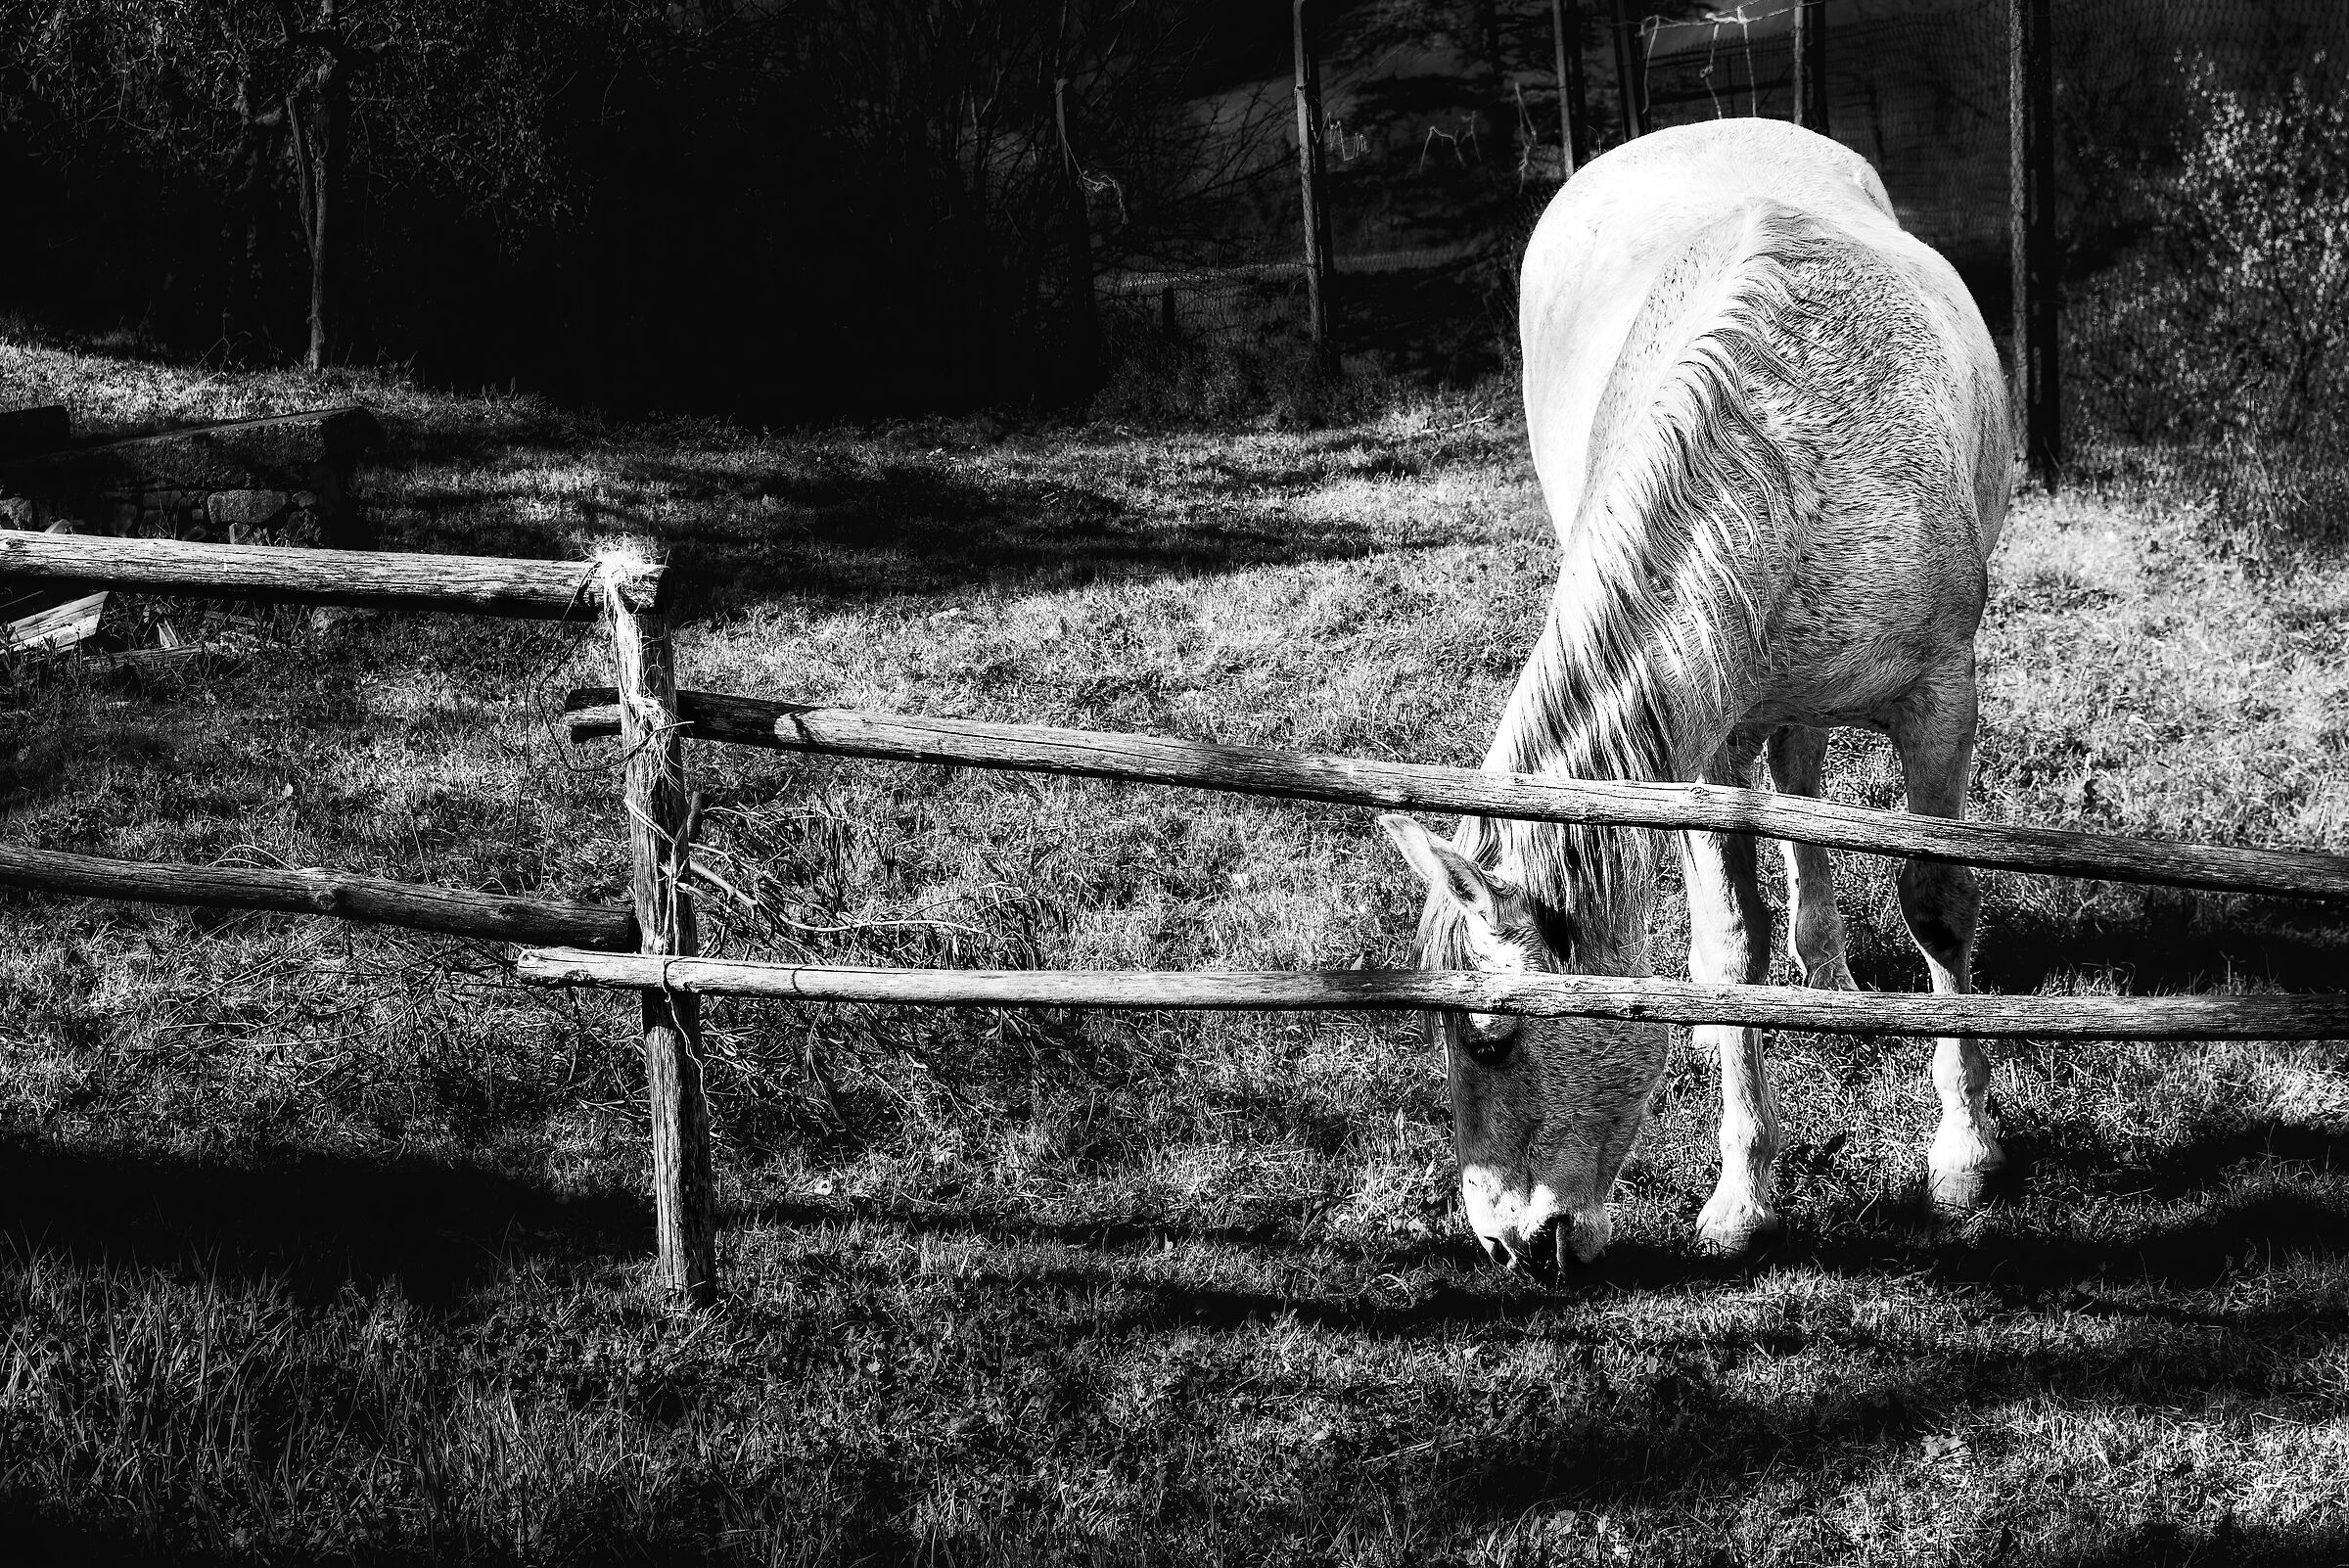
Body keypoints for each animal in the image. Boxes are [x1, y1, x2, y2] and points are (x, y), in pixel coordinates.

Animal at [1380, 119, 2013, 1276]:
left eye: (1489, 1038)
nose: (1507, 1243)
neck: (1790, 463)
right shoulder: (1705, 747)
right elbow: (1725, 944)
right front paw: (1743, 1194)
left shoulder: (1943, 701)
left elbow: (1939, 909)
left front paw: (1964, 1155)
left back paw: (1833, 975)